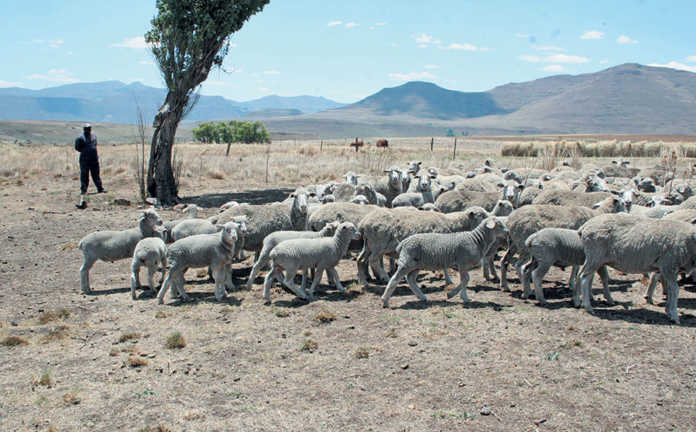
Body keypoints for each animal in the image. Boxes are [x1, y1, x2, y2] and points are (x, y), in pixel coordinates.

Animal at [356, 206, 489, 285]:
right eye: (482, 215)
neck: (452, 224)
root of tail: (363, 223)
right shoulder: (441, 247)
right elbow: (445, 266)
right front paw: (449, 280)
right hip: (378, 245)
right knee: (373, 261)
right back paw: (385, 277)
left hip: (368, 245)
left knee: (360, 259)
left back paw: (363, 282)